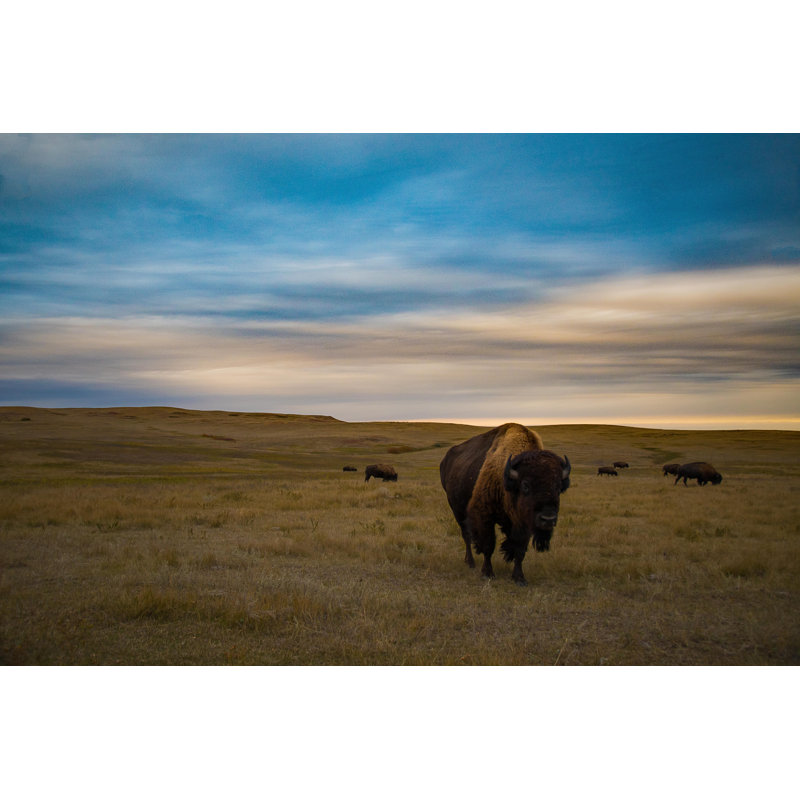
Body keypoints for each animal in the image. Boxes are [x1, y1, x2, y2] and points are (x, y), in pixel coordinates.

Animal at [439, 422, 570, 585]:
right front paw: (487, 573)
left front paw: (519, 578)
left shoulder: (523, 523)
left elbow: (519, 549)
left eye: (558, 487)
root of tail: (446, 460)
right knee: (467, 536)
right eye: (525, 485)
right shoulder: (485, 516)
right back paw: (470, 562)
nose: (548, 519)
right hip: (458, 511)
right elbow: (488, 545)